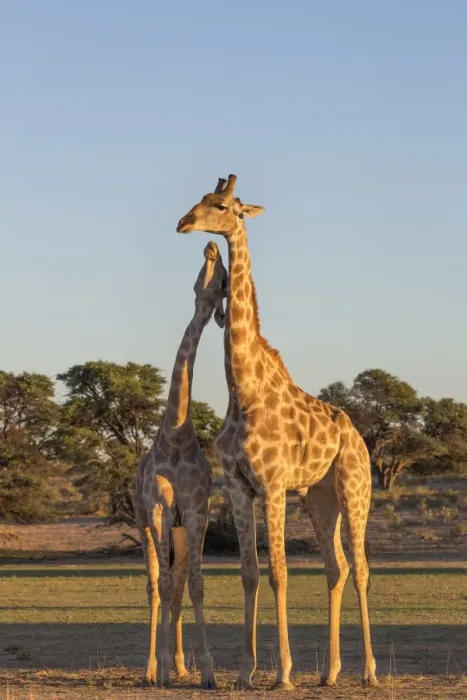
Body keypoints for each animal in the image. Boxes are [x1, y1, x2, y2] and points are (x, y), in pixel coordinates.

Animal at [176, 175, 378, 690]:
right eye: (199, 200)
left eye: (223, 205)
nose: (184, 222)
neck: (243, 390)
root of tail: (358, 436)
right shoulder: (238, 486)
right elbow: (249, 572)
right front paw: (246, 671)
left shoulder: (271, 484)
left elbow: (279, 573)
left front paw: (283, 673)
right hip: (318, 496)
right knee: (335, 567)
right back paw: (329, 672)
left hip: (355, 487)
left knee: (361, 567)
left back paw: (368, 672)